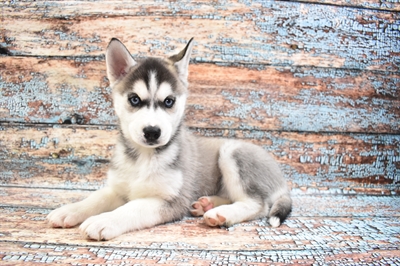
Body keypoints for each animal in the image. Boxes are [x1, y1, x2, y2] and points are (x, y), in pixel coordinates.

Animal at [47, 38, 292, 241]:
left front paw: (104, 220)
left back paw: (221, 213)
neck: (143, 158)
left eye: (168, 101)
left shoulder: (171, 201)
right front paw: (69, 210)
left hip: (232, 152)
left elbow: (132, 208)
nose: (152, 132)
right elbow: (96, 198)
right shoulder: (118, 188)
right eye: (134, 100)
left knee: (258, 205)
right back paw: (205, 204)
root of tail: (281, 177)